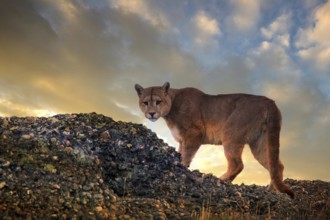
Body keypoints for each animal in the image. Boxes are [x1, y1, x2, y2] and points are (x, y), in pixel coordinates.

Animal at [135, 81, 296, 199]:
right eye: (145, 102)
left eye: (158, 101)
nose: (151, 113)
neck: (172, 105)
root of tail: (269, 101)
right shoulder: (182, 141)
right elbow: (180, 155)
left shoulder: (193, 135)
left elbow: (186, 157)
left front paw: (182, 171)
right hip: (259, 143)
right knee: (276, 165)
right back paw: (272, 191)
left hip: (230, 133)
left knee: (238, 164)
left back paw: (220, 180)